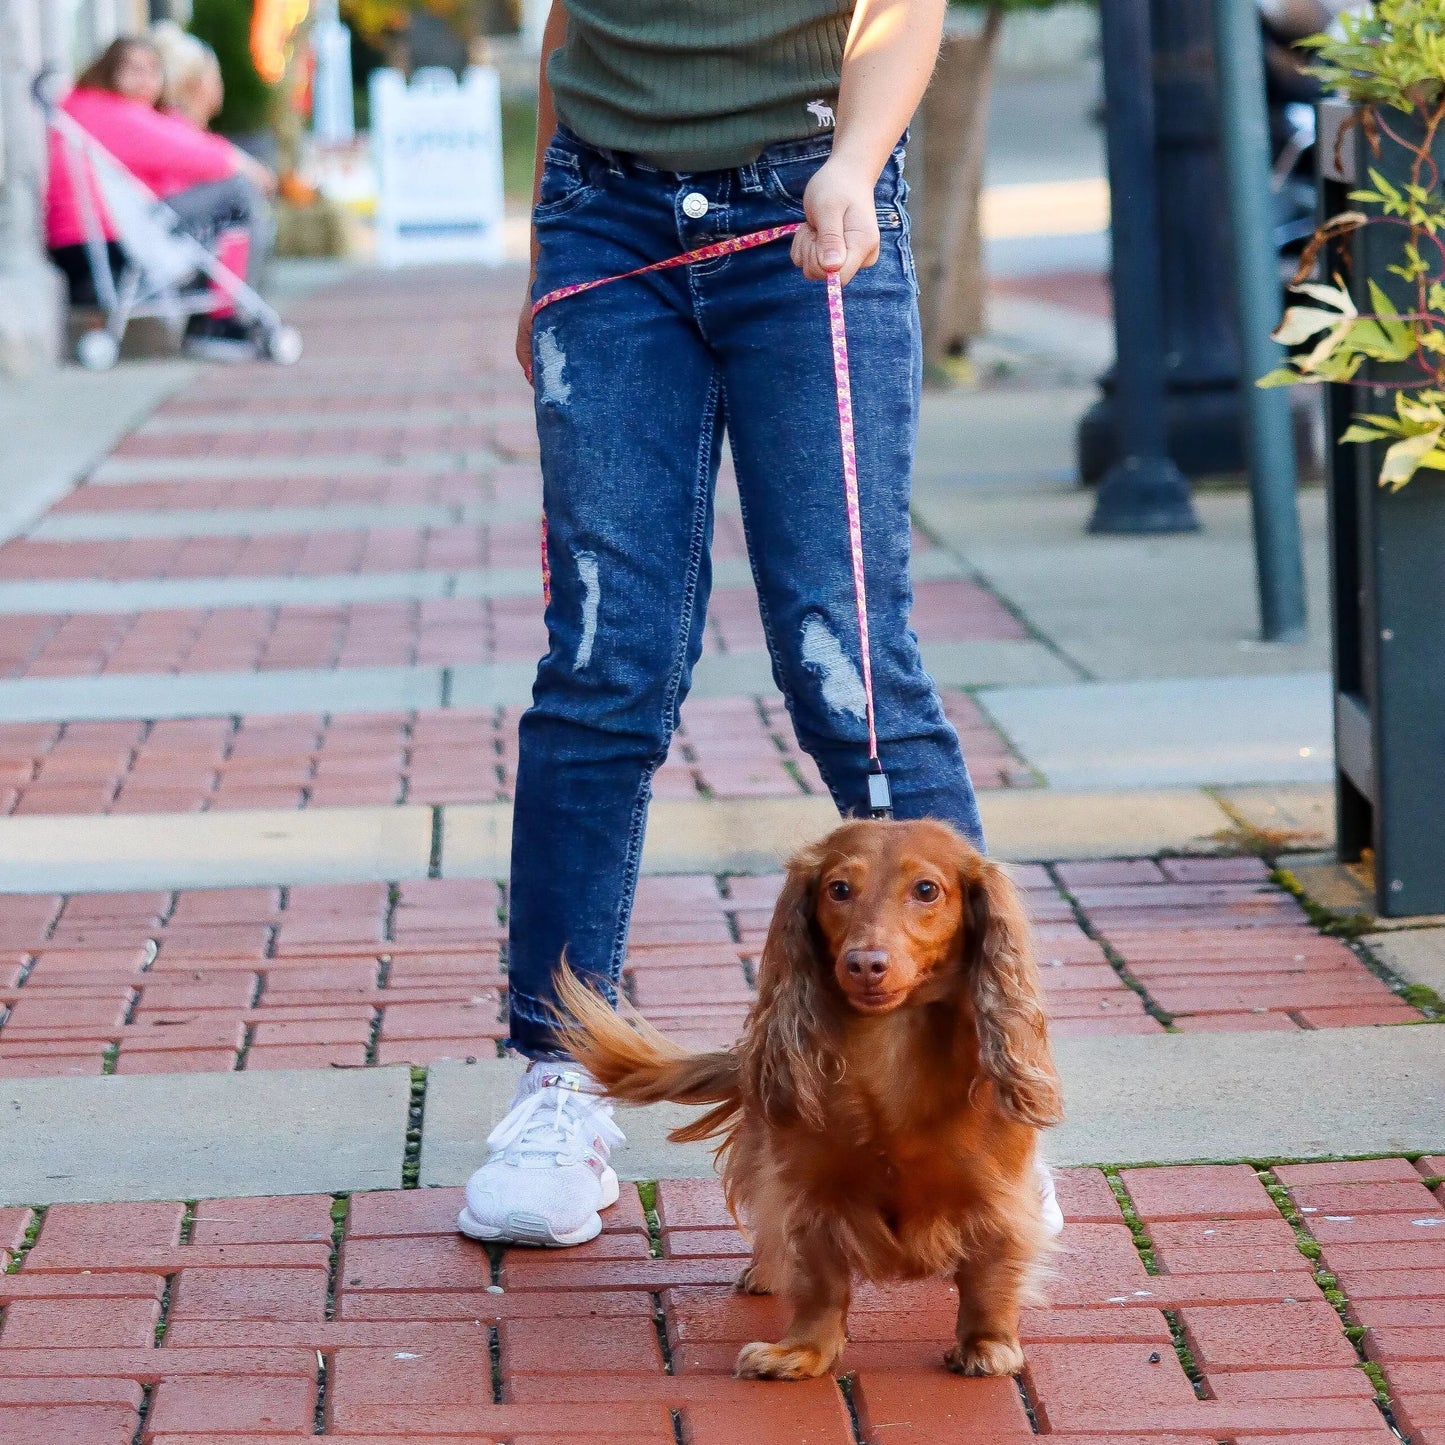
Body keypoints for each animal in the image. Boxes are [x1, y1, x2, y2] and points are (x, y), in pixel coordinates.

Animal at [551, 820, 1063, 1381]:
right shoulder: (810, 1193)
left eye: (927, 889)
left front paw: (986, 1343)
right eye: (838, 889)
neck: (888, 1049)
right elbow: (819, 1283)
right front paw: (801, 1351)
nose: (865, 964)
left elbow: (988, 1274)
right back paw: (765, 1269)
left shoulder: (997, 1197)